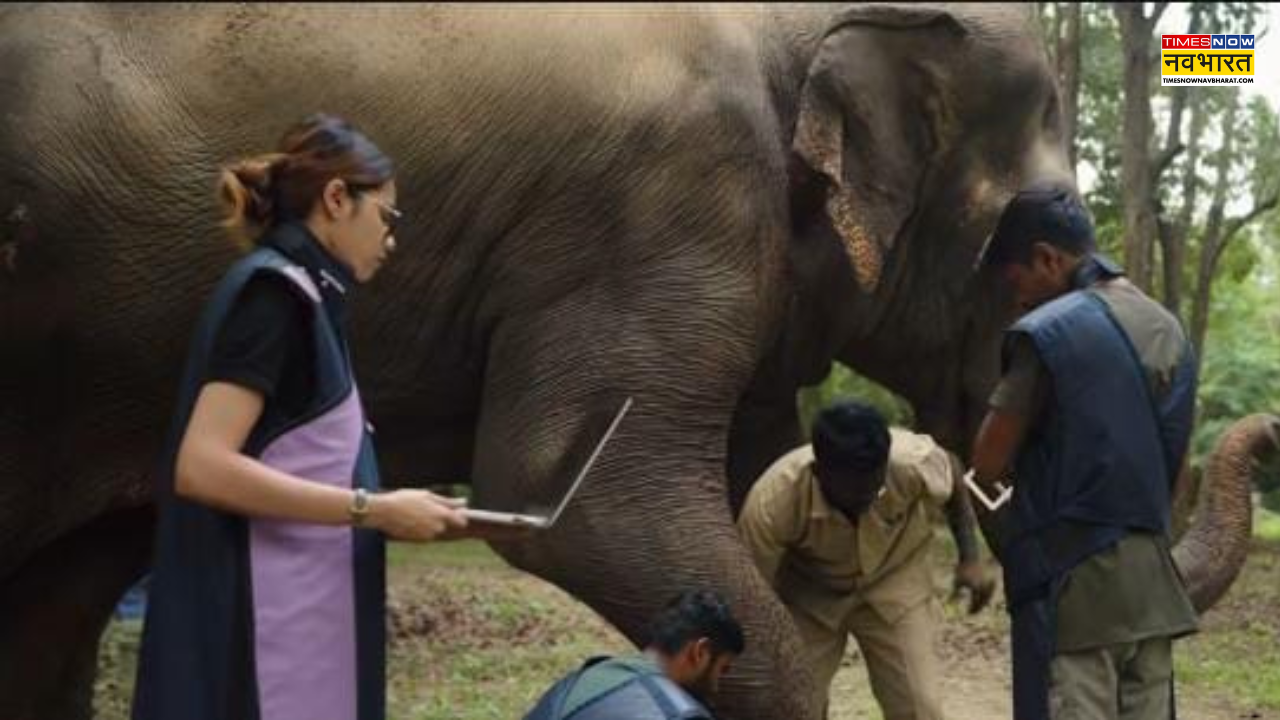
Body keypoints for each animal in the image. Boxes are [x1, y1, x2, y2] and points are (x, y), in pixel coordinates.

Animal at [0, 4, 1272, 719]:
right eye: (1040, 245)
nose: (1257, 433)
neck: (797, 24)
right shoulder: (662, 206)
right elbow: (578, 497)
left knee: (57, 609)